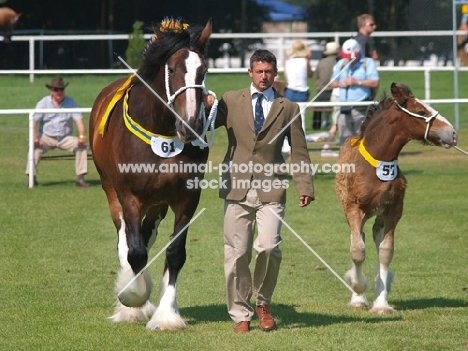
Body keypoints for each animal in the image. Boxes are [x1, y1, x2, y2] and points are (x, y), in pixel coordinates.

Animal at [88, 17, 212, 332]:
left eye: (203, 70)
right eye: (172, 69)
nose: (191, 124)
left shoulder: (187, 198)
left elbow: (175, 252)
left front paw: (167, 314)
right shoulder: (130, 197)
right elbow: (134, 253)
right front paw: (132, 299)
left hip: (157, 205)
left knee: (146, 236)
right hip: (112, 192)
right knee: (126, 243)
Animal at [334, 84, 458, 314]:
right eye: (421, 112)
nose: (452, 134)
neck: (377, 162)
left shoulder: (393, 210)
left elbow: (385, 251)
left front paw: (381, 302)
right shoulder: (355, 208)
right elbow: (358, 250)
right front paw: (358, 293)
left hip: (379, 214)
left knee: (375, 235)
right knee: (359, 238)